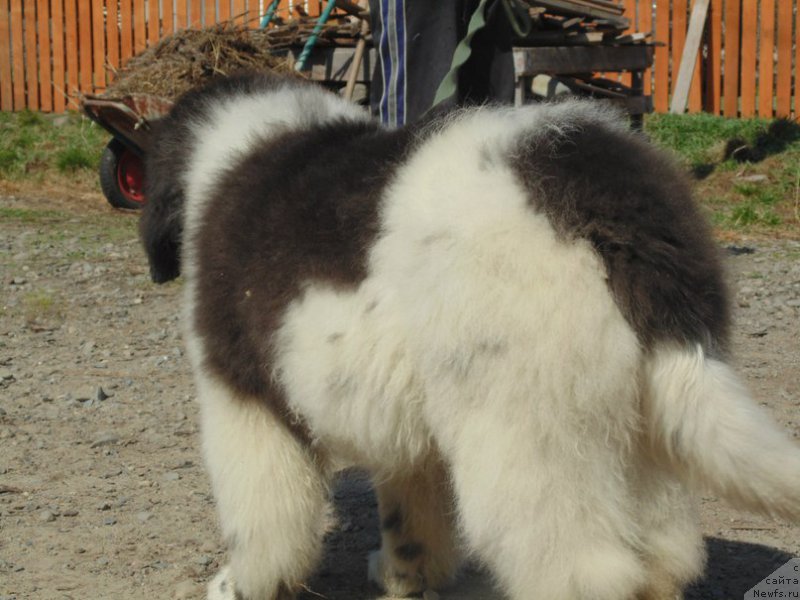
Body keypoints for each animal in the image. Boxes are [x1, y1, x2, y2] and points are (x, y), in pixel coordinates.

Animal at [139, 74, 800, 600]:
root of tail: (601, 195)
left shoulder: (240, 395)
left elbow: (259, 513)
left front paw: (237, 584)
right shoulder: (403, 419)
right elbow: (411, 510)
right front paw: (406, 577)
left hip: (522, 427)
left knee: (579, 569)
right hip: (635, 416)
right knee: (663, 554)